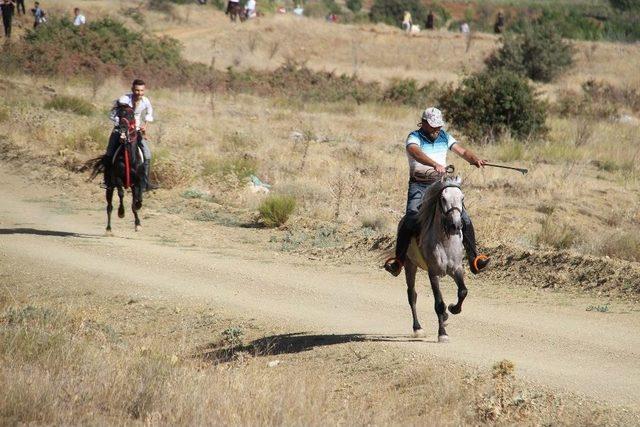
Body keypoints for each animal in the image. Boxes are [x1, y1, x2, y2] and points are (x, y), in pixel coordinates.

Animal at [408, 176, 468, 342]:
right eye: (443, 199)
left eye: (462, 198)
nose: (456, 225)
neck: (445, 242)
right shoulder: (433, 273)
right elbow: (439, 304)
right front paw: (442, 333)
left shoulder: (457, 269)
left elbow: (463, 291)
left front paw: (454, 308)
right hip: (410, 265)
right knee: (412, 295)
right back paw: (417, 329)